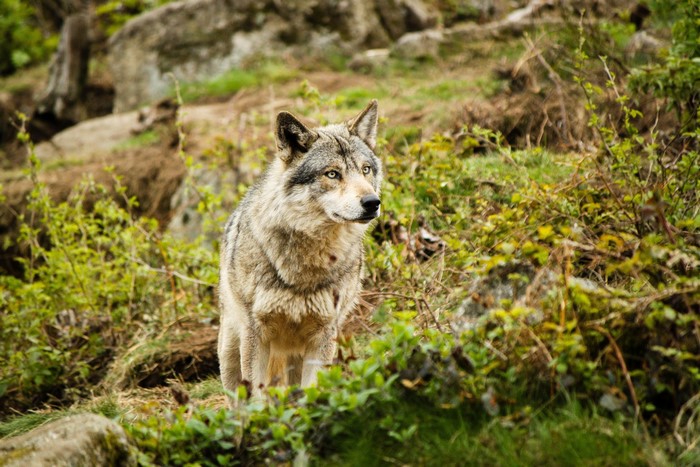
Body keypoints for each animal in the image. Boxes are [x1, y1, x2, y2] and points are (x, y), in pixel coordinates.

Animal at [218, 100, 382, 403]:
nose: (372, 202)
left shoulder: (324, 335)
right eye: (332, 174)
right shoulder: (256, 334)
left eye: (365, 170)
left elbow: (312, 392)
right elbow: (258, 398)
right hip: (231, 352)